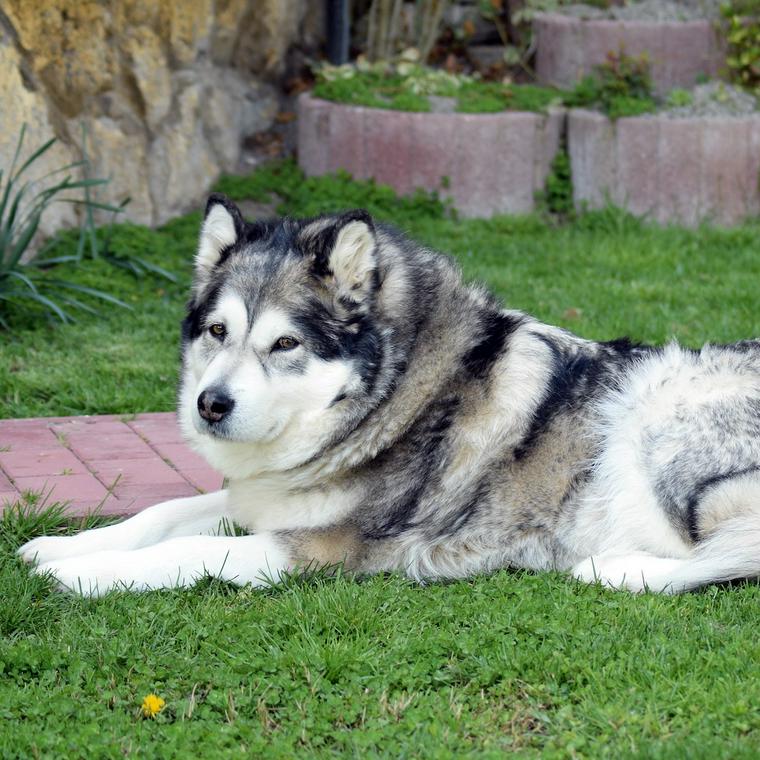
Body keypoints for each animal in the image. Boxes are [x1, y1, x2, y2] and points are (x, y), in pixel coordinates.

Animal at [17, 194, 760, 592]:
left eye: (284, 344)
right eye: (217, 331)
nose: (211, 406)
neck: (394, 402)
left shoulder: (325, 549)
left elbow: (189, 551)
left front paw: (83, 575)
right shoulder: (263, 499)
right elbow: (162, 513)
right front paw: (59, 548)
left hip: (660, 417)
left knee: (735, 554)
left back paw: (622, 570)